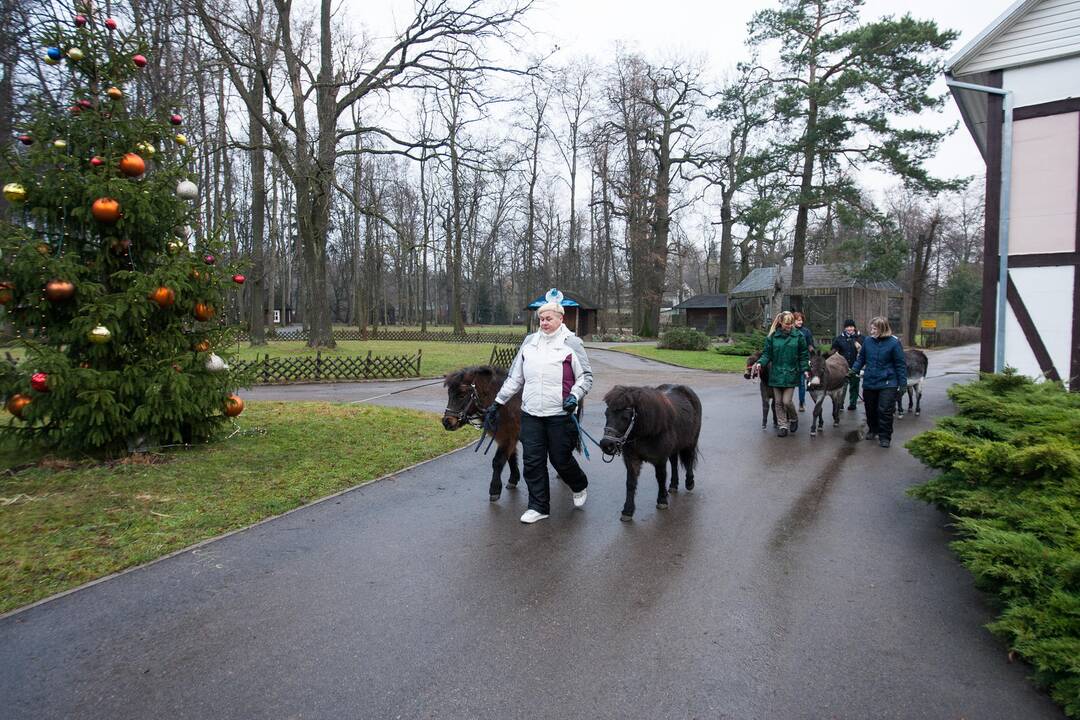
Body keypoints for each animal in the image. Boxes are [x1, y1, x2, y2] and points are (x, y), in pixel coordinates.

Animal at [440, 367, 520, 500]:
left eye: (462, 395)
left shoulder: (508, 436)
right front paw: (513, 479)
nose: (447, 422)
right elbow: (511, 458)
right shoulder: (509, 437)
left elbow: (498, 461)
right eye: (449, 394)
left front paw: (494, 489)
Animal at [596, 386, 704, 520]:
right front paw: (627, 511)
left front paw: (662, 500)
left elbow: (661, 477)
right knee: (674, 462)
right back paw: (673, 485)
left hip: (691, 441)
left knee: (689, 458)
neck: (647, 431)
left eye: (625, 417)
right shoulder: (632, 459)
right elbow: (630, 482)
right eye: (606, 414)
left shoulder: (660, 459)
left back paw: (689, 482)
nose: (606, 445)